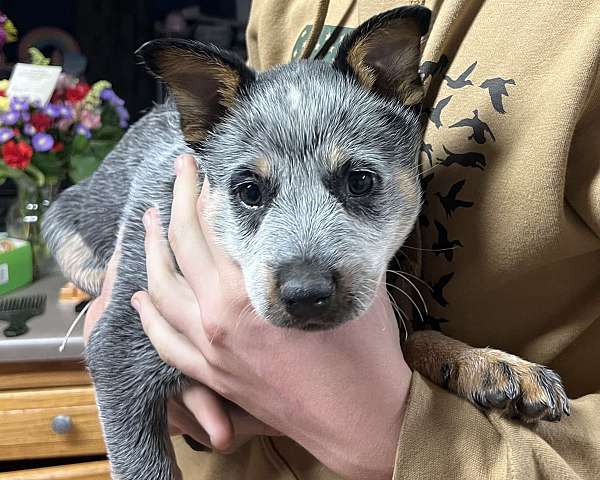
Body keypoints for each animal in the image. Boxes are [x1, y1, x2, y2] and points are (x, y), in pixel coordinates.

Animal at [42, 7, 568, 480]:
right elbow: (143, 465)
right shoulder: (117, 350)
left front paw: (488, 363)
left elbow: (418, 336)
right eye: (249, 191)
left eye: (360, 181)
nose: (306, 293)